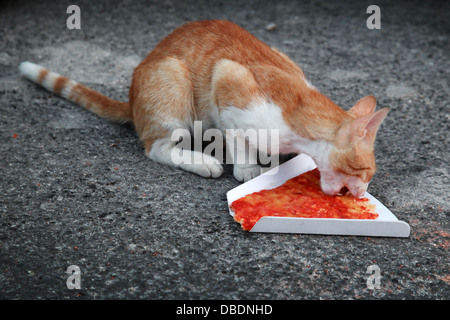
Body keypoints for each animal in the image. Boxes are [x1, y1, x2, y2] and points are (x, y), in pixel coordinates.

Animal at [19, 20, 388, 198]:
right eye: (365, 172)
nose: (362, 193)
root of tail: (133, 99)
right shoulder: (226, 80)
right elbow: (238, 134)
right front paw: (246, 166)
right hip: (173, 79)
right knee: (158, 148)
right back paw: (203, 160)